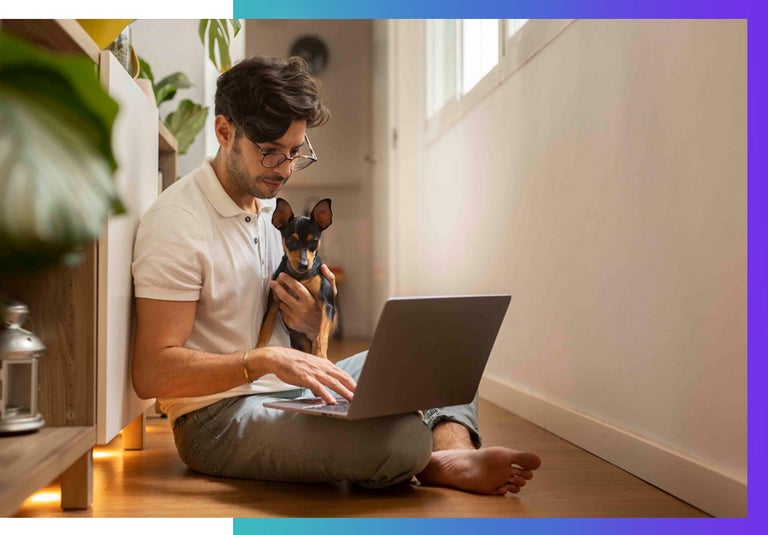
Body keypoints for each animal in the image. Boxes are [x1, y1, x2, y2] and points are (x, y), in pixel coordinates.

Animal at [256, 198, 334, 360]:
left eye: (314, 242)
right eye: (291, 241)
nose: (303, 265)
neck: (299, 277)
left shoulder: (327, 304)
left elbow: (322, 335)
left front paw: (322, 355)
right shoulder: (273, 305)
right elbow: (264, 331)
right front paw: (258, 350)